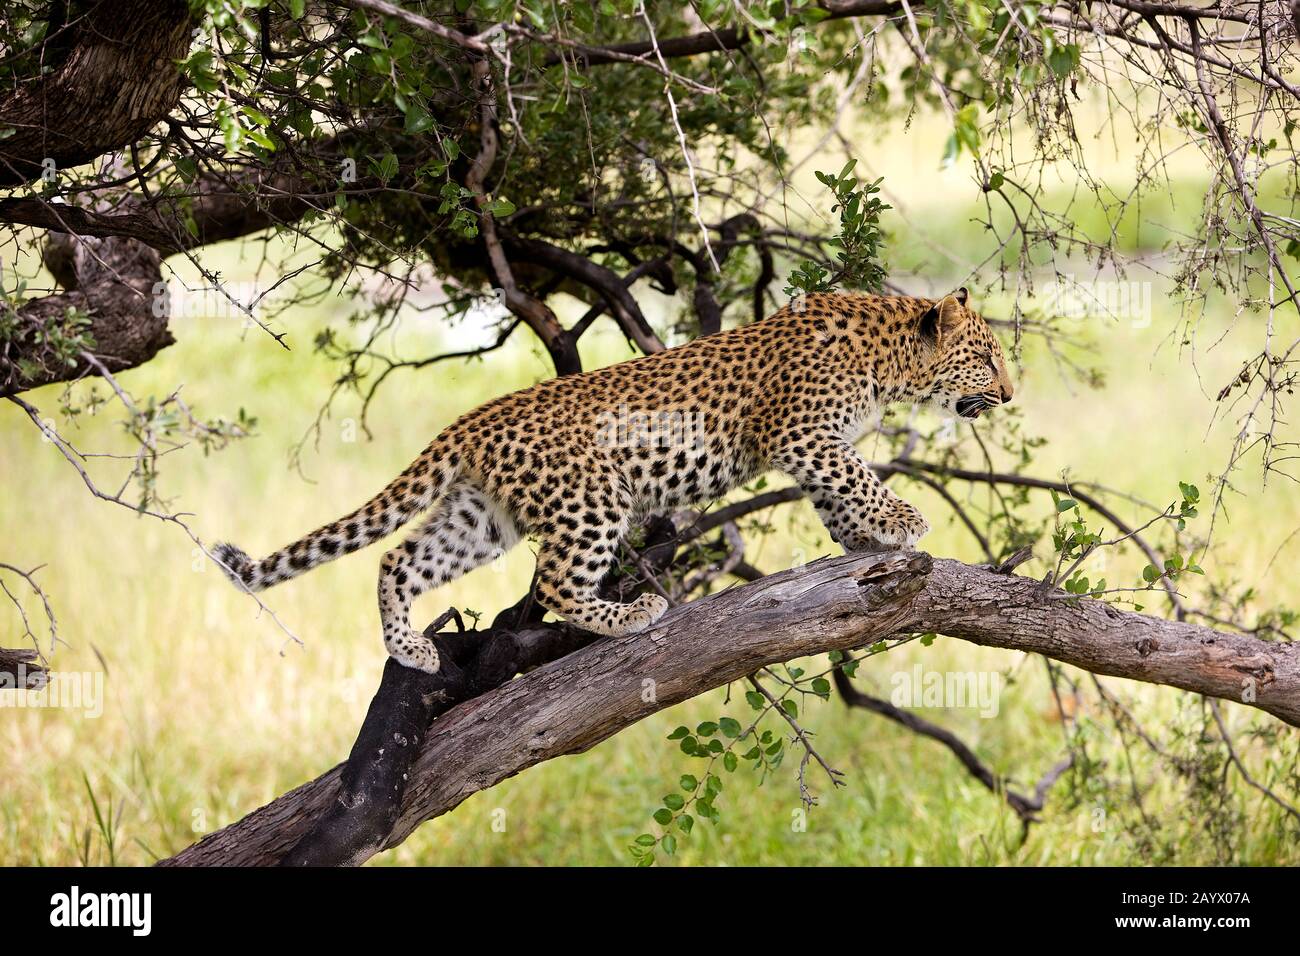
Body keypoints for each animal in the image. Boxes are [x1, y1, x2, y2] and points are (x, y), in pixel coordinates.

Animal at [210, 290, 1013, 671]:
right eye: (986, 357)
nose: (1008, 395)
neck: (890, 358)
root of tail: (472, 419)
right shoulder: (799, 433)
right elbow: (857, 475)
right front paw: (902, 519)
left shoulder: (815, 444)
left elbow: (839, 491)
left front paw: (866, 541)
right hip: (592, 499)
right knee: (558, 583)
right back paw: (633, 614)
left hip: (482, 518)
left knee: (397, 558)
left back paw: (410, 649)